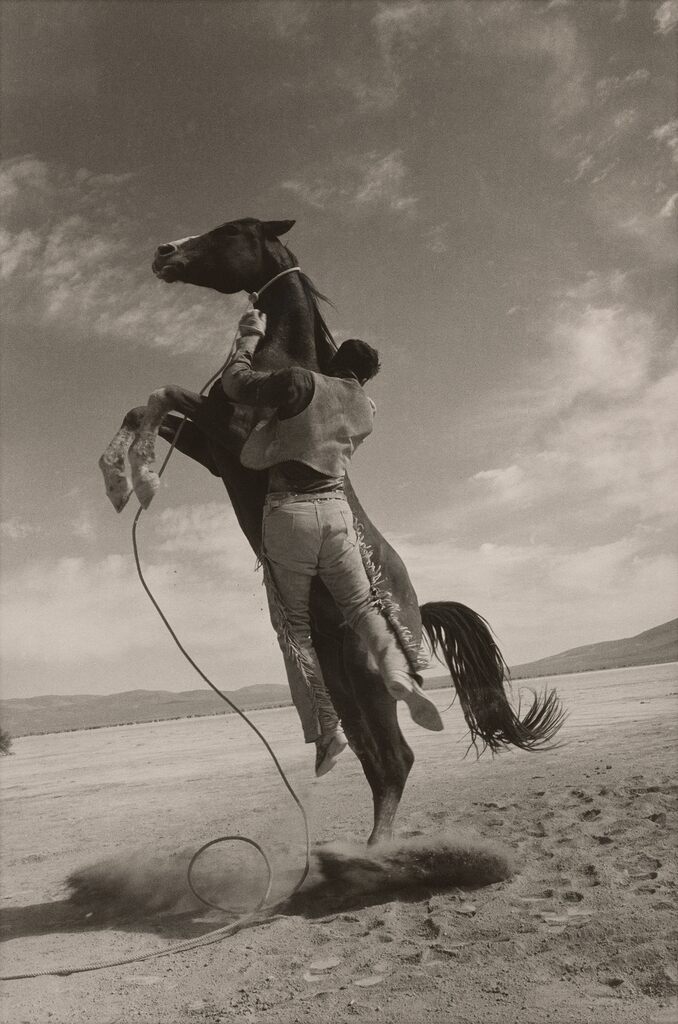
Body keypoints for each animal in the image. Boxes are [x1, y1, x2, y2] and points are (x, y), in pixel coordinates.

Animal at [99, 216, 564, 846]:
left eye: (230, 232)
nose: (163, 252)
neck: (286, 359)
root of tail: (416, 608)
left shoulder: (233, 436)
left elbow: (164, 393)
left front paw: (133, 480)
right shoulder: (214, 451)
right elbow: (148, 406)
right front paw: (123, 473)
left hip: (369, 680)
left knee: (397, 760)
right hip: (342, 683)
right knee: (378, 762)